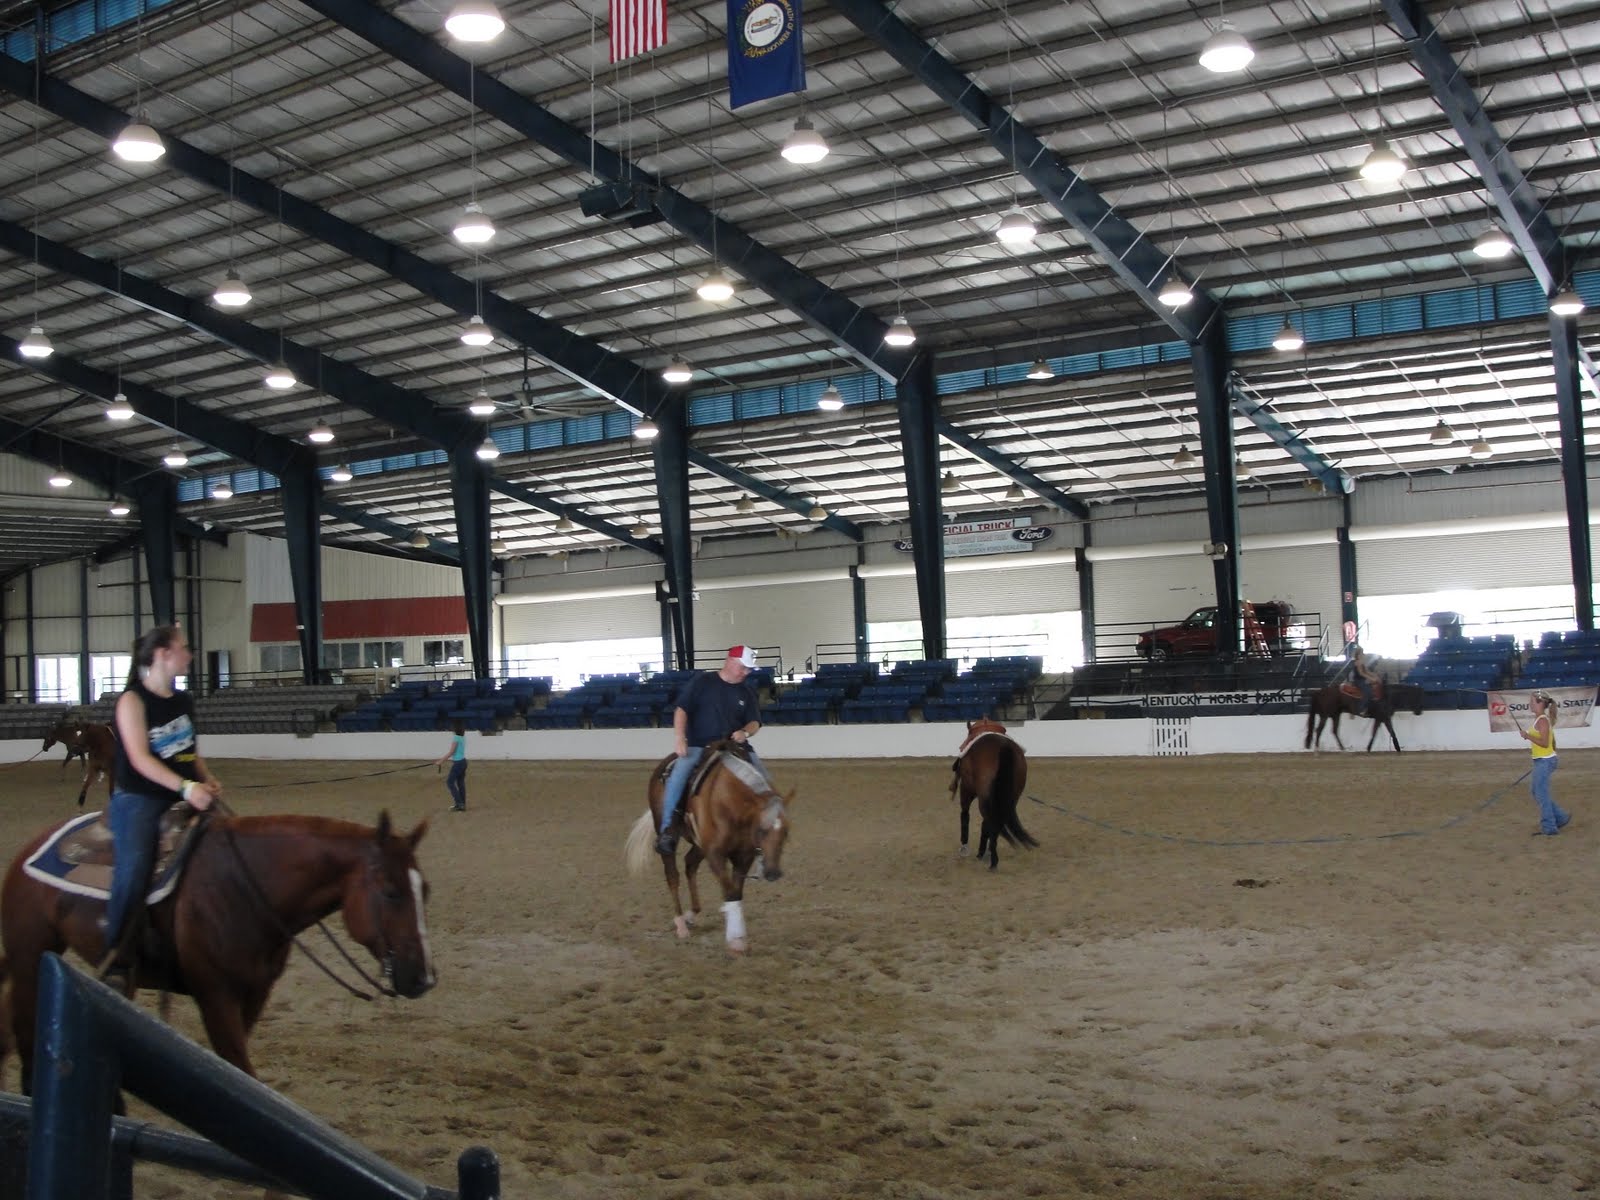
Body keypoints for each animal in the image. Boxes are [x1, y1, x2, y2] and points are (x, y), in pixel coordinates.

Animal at [0, 809, 435, 1093]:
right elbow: (239, 1070)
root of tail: (31, 848)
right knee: (23, 1029)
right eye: (391, 892)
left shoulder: (256, 994)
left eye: (425, 891)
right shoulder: (216, 996)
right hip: (29, 957)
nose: (424, 977)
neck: (245, 888)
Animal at [623, 741, 792, 955]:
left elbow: (736, 891)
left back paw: (691, 915)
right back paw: (681, 924)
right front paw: (735, 940)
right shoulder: (715, 854)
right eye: (761, 830)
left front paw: (737, 935)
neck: (729, 800)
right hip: (666, 833)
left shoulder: (743, 856)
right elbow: (729, 891)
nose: (772, 873)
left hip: (699, 844)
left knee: (690, 864)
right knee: (672, 875)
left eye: (786, 832)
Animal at [948, 719, 1037, 870]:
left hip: (982, 796)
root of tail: (1003, 747)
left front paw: (965, 848)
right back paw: (988, 854)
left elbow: (965, 815)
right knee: (992, 821)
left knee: (989, 821)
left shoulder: (967, 790)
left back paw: (992, 860)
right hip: (1010, 797)